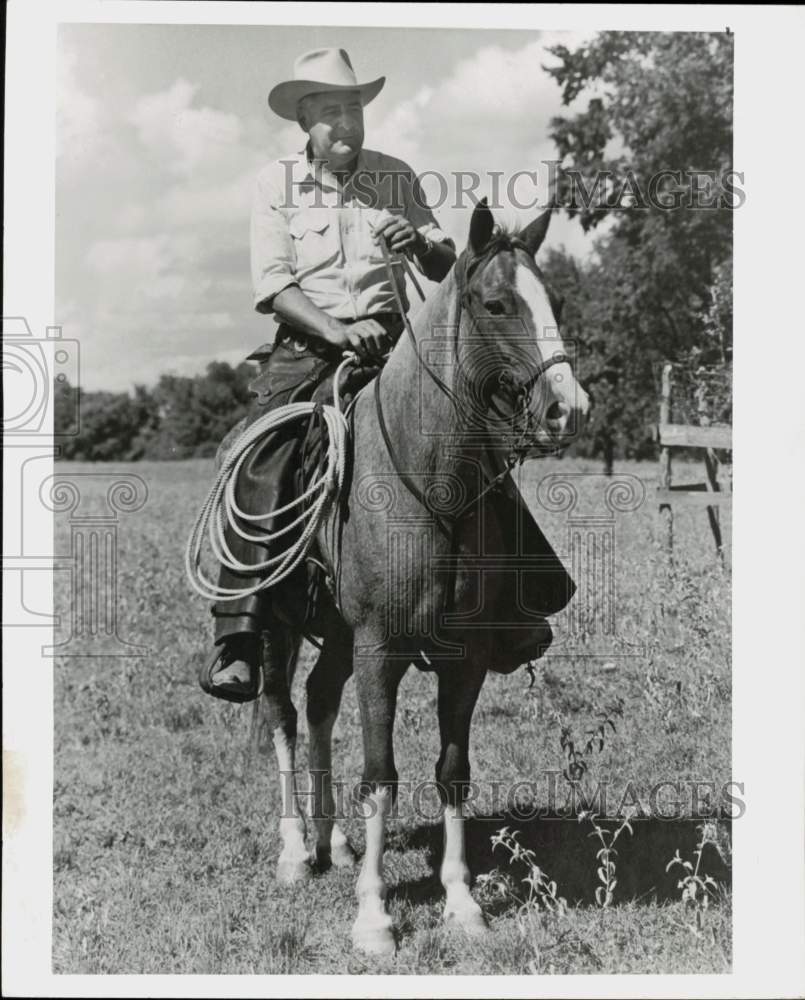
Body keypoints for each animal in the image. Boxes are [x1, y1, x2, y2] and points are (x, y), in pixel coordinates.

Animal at [258, 197, 592, 952]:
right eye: (496, 304)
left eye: (557, 300)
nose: (569, 408)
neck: (427, 481)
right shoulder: (380, 650)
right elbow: (380, 775)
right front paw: (374, 916)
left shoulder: (462, 657)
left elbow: (452, 774)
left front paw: (461, 902)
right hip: (276, 627)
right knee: (283, 716)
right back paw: (294, 851)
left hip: (337, 637)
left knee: (318, 704)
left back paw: (334, 845)